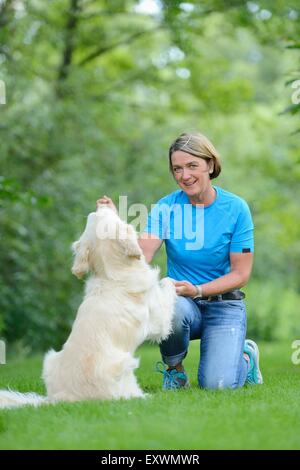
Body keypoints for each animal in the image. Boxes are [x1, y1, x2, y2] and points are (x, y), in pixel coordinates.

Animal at [0, 206, 177, 408]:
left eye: (92, 217)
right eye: (104, 215)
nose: (102, 204)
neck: (113, 274)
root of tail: (58, 399)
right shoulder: (159, 323)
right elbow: (168, 285)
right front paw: (175, 282)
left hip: (50, 359)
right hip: (125, 364)